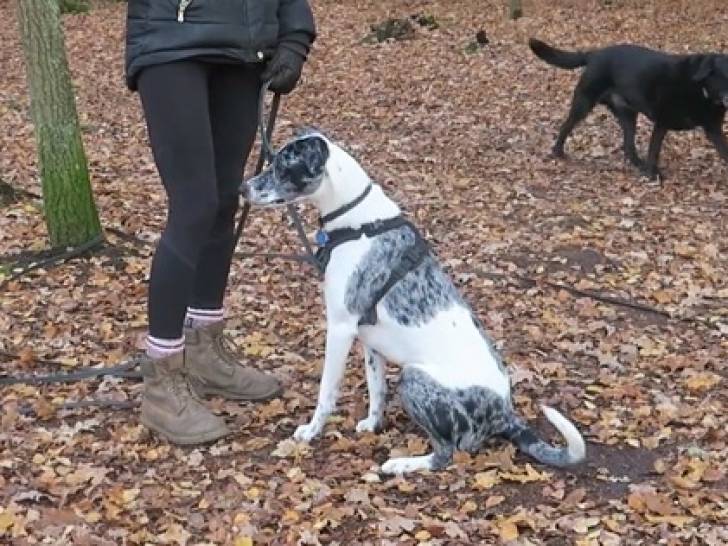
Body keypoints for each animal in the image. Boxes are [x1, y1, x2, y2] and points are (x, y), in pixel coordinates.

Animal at [243, 131, 584, 472]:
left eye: (282, 165)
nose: (242, 188)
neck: (359, 225)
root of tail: (505, 413)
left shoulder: (339, 329)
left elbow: (326, 392)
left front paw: (312, 431)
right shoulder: (369, 342)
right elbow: (377, 390)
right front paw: (373, 424)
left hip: (413, 377)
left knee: (445, 454)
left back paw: (401, 465)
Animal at [528, 38, 728, 178]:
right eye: (723, 75)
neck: (700, 89)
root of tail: (595, 53)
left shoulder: (714, 129)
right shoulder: (662, 122)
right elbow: (654, 150)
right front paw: (652, 175)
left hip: (628, 115)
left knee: (628, 146)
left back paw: (638, 163)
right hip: (584, 103)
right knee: (566, 126)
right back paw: (558, 152)